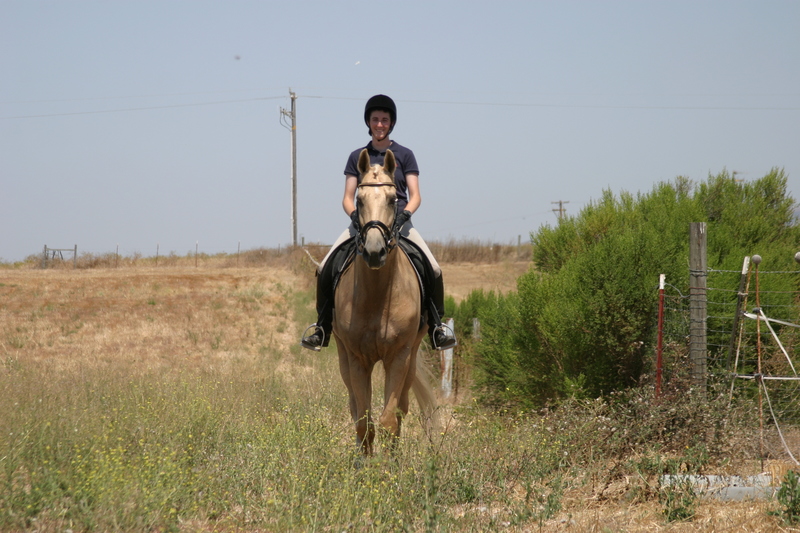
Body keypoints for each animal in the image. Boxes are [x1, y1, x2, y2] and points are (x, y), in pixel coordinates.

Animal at [332, 148, 438, 455]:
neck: (377, 295)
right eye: (359, 200)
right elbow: (363, 423)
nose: (374, 252)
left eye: (393, 199)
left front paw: (390, 466)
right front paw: (365, 466)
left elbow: (390, 420)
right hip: (343, 356)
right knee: (355, 408)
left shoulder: (399, 356)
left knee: (401, 408)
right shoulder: (357, 359)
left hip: (411, 358)